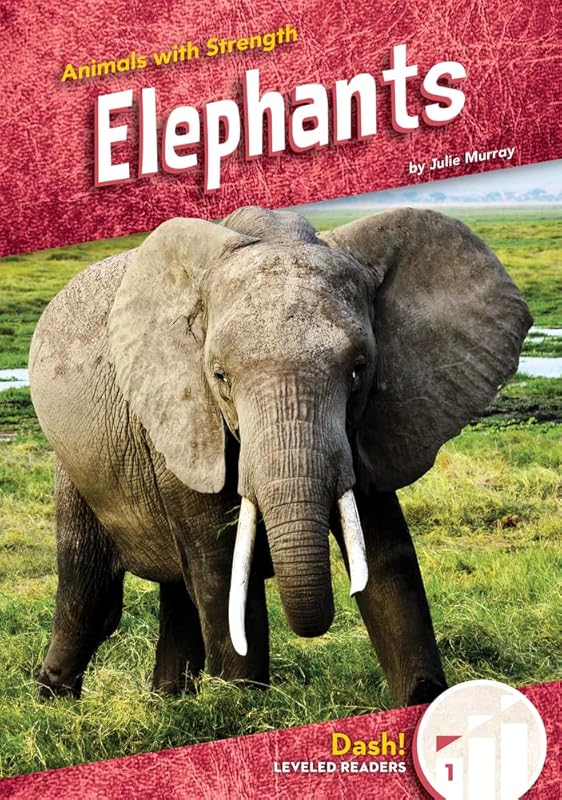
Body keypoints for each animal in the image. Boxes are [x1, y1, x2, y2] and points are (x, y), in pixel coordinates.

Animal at [29, 206, 532, 706]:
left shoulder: (368, 428)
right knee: (92, 596)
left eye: (358, 370)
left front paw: (423, 701)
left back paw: (169, 702)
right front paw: (240, 704)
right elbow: (223, 568)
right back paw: (56, 703)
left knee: (176, 595)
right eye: (220, 376)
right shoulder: (185, 422)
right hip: (74, 470)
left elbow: (388, 557)